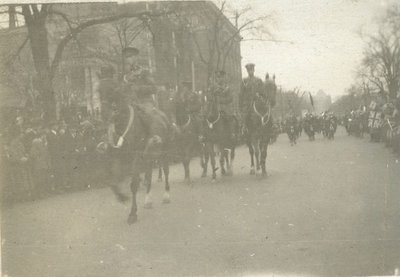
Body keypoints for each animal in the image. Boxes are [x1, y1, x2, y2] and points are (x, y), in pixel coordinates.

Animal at [98, 88, 172, 224]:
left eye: (112, 92)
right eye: (99, 92)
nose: (103, 116)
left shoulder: (136, 157)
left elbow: (133, 184)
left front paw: (132, 214)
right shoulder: (117, 156)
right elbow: (112, 182)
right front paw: (122, 197)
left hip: (164, 152)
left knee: (166, 171)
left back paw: (166, 196)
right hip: (149, 157)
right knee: (149, 176)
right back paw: (148, 201)